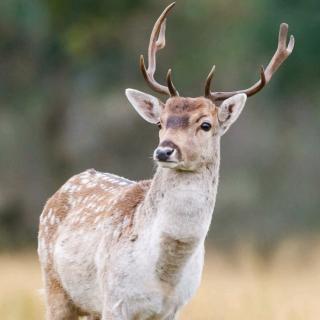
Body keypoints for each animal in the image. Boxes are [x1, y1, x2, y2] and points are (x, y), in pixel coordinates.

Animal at [38, 3, 296, 320]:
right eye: (160, 123)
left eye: (206, 124)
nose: (164, 151)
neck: (163, 275)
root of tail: (61, 189)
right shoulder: (114, 300)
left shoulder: (173, 308)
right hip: (54, 284)